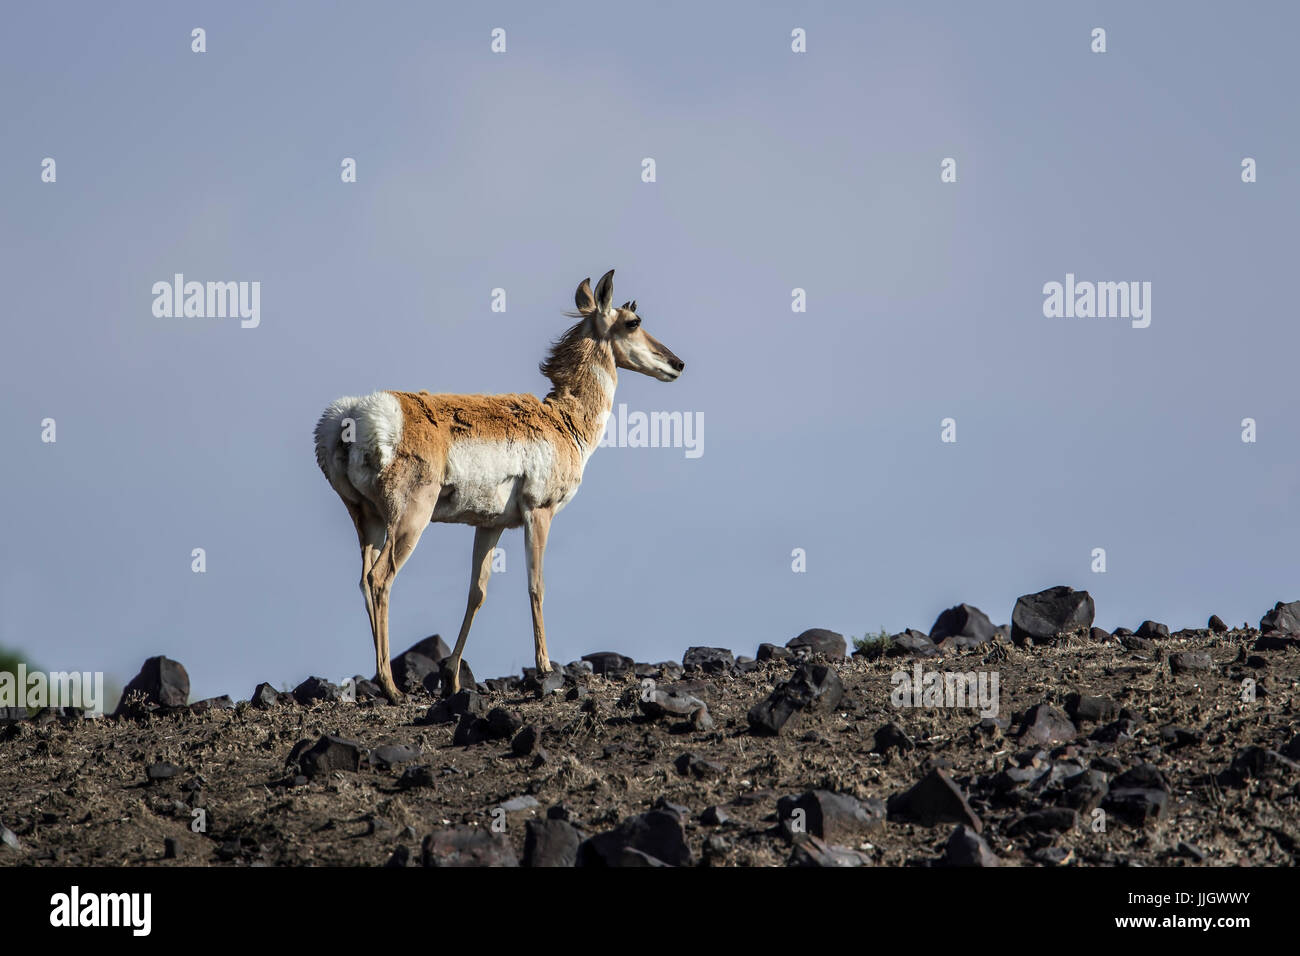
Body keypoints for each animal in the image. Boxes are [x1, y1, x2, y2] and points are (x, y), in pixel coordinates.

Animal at [313, 269, 686, 702]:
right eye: (633, 322)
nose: (677, 363)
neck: (563, 419)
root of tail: (356, 415)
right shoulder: (539, 513)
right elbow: (536, 585)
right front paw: (545, 667)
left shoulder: (488, 525)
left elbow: (477, 592)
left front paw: (453, 677)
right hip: (409, 520)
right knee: (380, 578)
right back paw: (390, 686)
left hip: (368, 519)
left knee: (364, 579)